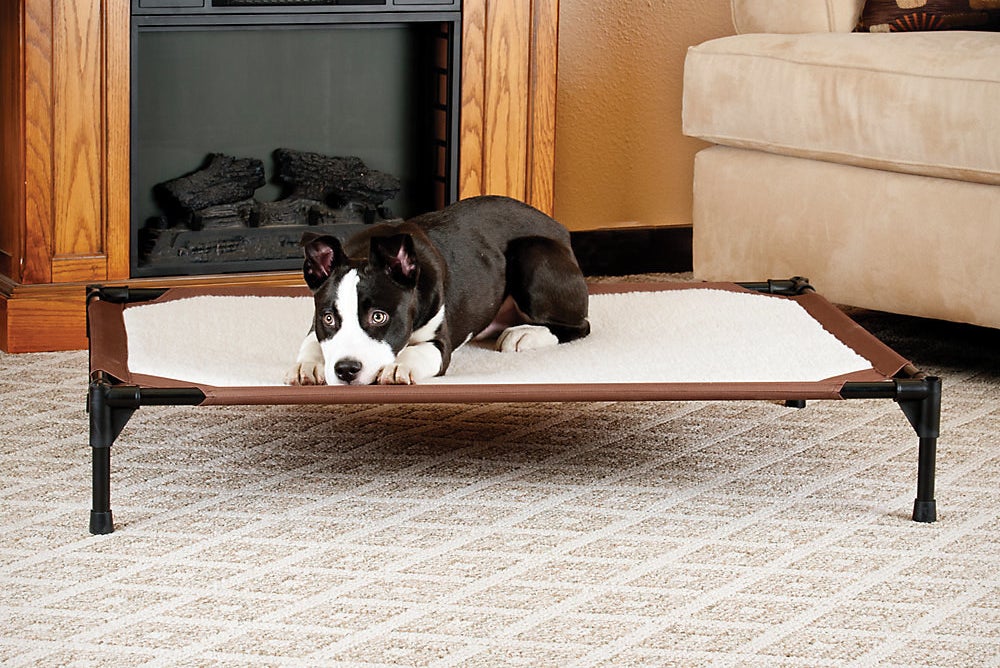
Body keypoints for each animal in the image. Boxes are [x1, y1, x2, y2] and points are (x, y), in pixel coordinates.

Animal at [286, 193, 588, 386]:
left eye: (379, 316)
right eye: (328, 318)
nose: (346, 369)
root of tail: (561, 229)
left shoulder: (441, 345)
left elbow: (419, 351)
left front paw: (399, 365)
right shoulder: (316, 321)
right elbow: (311, 340)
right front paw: (308, 365)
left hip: (532, 254)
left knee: (580, 326)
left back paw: (525, 334)